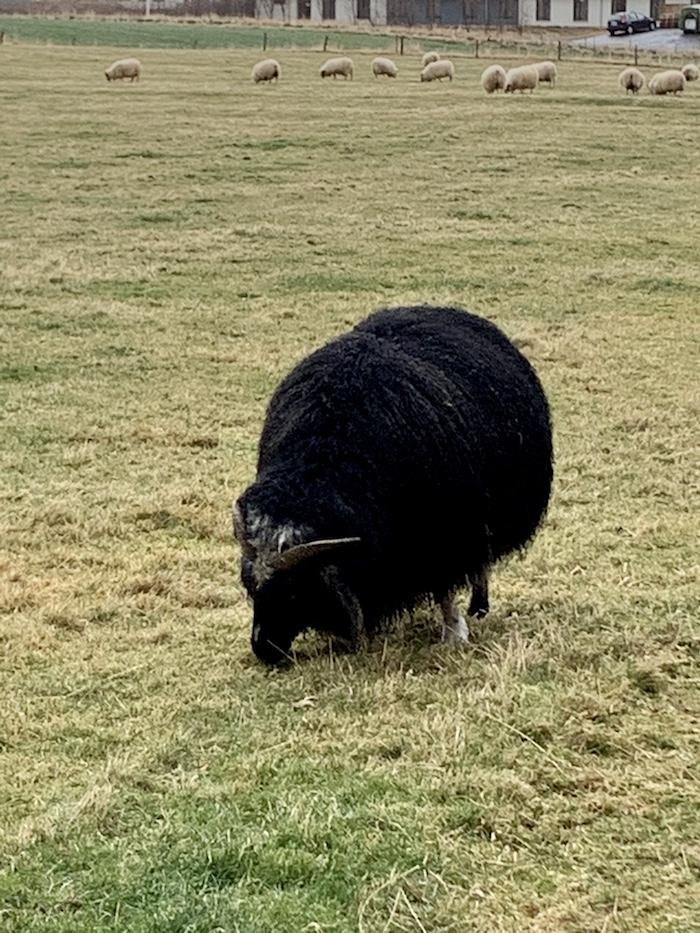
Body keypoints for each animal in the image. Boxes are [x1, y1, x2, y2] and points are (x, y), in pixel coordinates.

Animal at [235, 304, 552, 664]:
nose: (264, 650)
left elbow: (445, 587)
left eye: (293, 591)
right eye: (249, 586)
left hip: (479, 519)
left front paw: (454, 634)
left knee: (479, 563)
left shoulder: (445, 530)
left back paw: (478, 608)